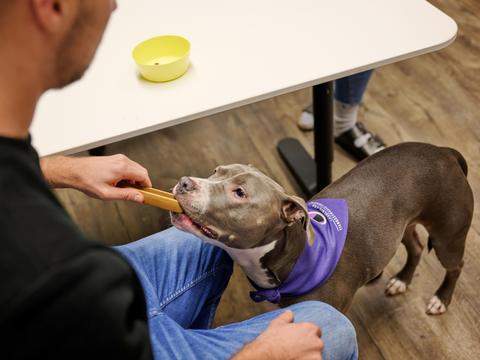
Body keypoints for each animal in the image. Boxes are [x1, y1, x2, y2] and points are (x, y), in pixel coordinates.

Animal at [169, 142, 472, 314]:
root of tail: (444, 152)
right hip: (403, 225)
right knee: (417, 247)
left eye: (240, 193)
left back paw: (441, 299)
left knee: (456, 266)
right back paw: (402, 280)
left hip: (448, 236)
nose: (184, 182)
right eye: (215, 171)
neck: (296, 257)